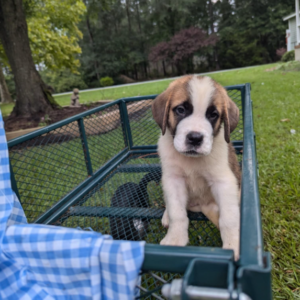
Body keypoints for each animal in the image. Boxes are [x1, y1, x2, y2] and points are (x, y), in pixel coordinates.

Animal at [152, 75, 241, 260]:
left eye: (213, 115)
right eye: (180, 110)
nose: (195, 138)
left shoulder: (224, 182)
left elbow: (229, 218)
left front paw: (233, 245)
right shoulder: (173, 180)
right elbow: (177, 212)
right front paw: (175, 239)